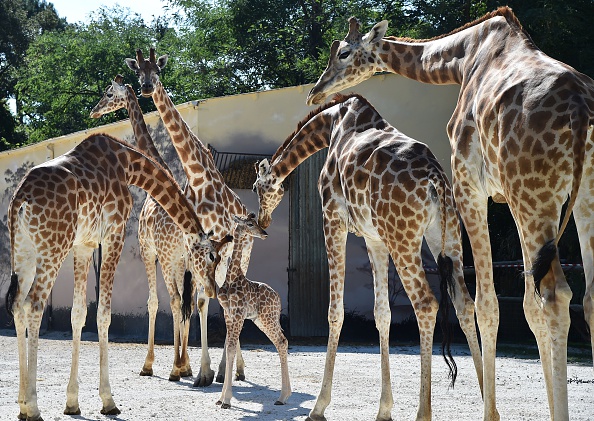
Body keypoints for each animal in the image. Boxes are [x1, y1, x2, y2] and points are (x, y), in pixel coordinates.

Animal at [6, 133, 229, 418]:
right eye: (212, 257)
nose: (212, 288)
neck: (128, 164)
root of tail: (20, 201)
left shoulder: (84, 244)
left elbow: (78, 313)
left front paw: (72, 403)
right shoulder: (114, 232)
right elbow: (103, 314)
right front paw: (108, 400)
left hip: (24, 250)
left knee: (17, 306)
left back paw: (22, 405)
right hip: (52, 248)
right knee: (33, 305)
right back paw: (34, 407)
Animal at [126, 47, 251, 386]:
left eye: (157, 70)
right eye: (137, 71)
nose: (146, 87)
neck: (199, 177)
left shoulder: (210, 251)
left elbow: (202, 301)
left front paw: (201, 370)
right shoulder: (190, 253)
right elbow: (195, 302)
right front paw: (195, 370)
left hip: (240, 255)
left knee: (230, 296)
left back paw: (227, 369)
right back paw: (225, 369)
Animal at [217, 212, 292, 408]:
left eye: (256, 222)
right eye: (250, 224)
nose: (264, 233)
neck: (232, 277)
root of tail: (278, 298)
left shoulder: (238, 314)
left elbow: (231, 348)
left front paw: (227, 400)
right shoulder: (228, 314)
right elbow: (229, 347)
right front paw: (220, 398)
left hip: (268, 318)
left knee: (282, 342)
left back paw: (282, 397)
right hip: (260, 320)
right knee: (281, 342)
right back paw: (285, 396)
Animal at [252, 92, 484, 420]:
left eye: (257, 188)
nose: (263, 221)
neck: (331, 123)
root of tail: (436, 181)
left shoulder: (332, 219)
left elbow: (335, 312)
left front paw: (319, 406)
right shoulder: (374, 239)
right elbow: (382, 314)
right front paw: (384, 408)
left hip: (403, 237)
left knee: (426, 304)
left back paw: (423, 412)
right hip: (447, 236)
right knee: (464, 304)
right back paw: (490, 407)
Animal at [306, 6, 592, 420]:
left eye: (343, 53)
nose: (316, 90)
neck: (461, 59)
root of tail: (582, 111)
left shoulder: (470, 185)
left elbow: (489, 305)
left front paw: (490, 412)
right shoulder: (506, 198)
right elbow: (524, 305)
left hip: (534, 194)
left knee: (554, 296)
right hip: (574, 197)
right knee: (581, 298)